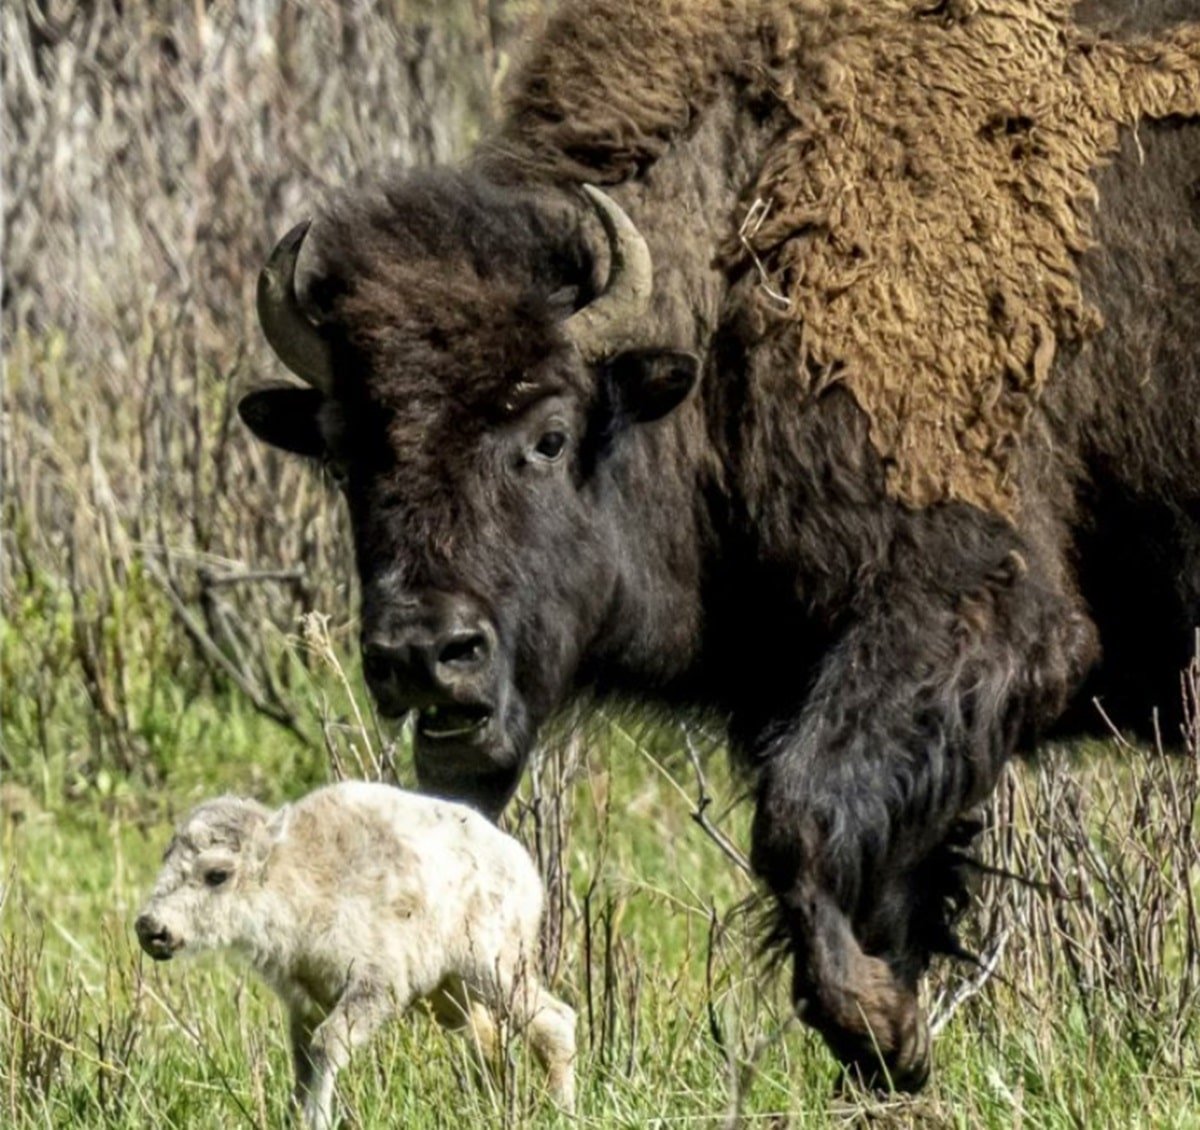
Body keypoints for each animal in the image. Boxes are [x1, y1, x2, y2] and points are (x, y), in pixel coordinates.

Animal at [136, 782, 576, 1127]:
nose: (151, 928)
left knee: (554, 1021)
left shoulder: (376, 986)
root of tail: (524, 868)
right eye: (166, 859)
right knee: (490, 1042)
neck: (298, 875)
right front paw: (294, 1116)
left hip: (492, 968)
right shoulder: (304, 1003)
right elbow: (303, 1063)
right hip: (449, 996)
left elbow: (326, 1046)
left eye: (217, 875)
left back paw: (560, 1111)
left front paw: (316, 1119)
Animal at [238, 0, 1200, 1098]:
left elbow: (798, 823)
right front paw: (887, 1043)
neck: (745, 263)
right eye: (344, 452)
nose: (424, 653)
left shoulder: (975, 614)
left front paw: (881, 1029)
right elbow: (873, 877)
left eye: (550, 433)